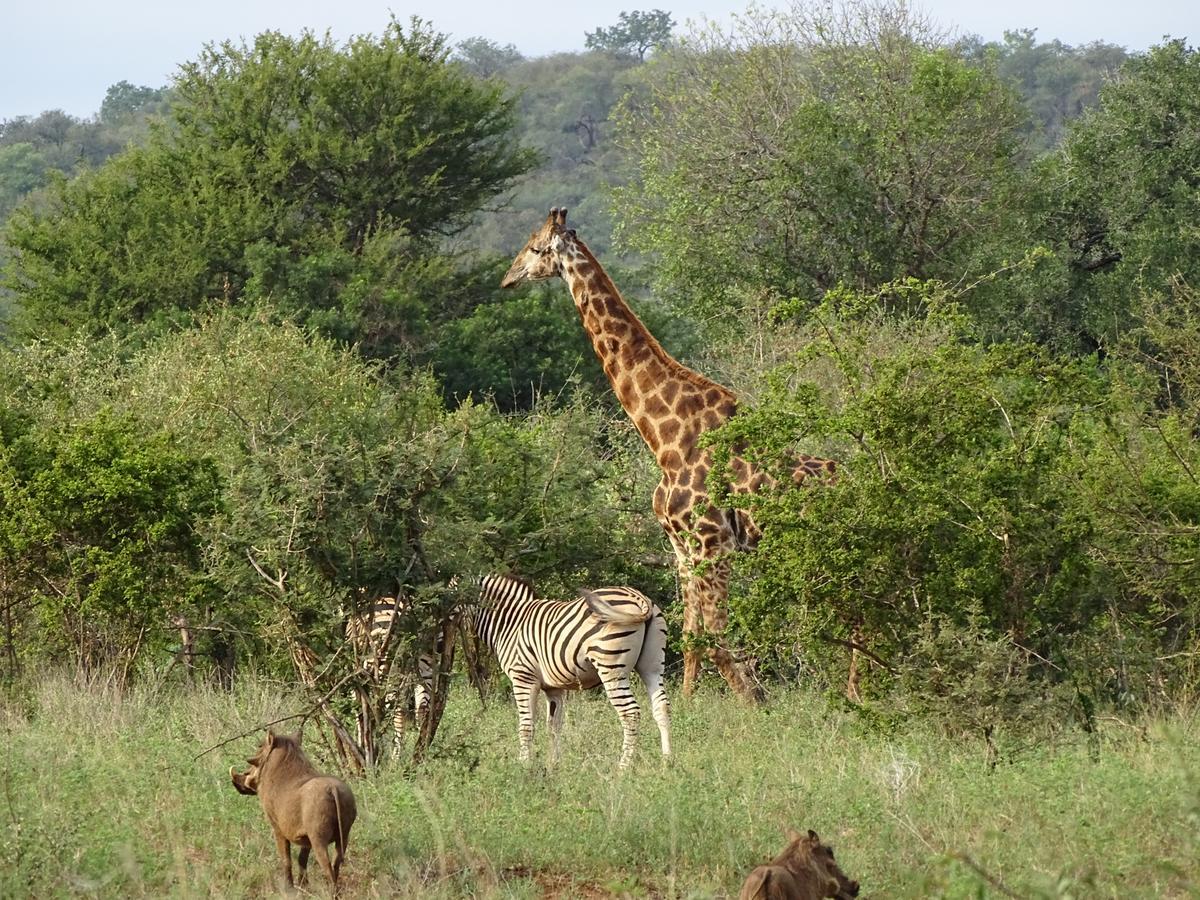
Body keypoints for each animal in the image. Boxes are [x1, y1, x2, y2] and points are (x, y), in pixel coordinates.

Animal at [468, 573, 676, 772]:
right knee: (661, 707)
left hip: (612, 668)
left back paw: (623, 768)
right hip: (653, 665)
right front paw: (553, 765)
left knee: (630, 713)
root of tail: (639, 597)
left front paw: (524, 766)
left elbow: (526, 726)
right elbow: (553, 726)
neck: (510, 622)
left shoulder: (523, 678)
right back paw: (667, 763)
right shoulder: (553, 688)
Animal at [499, 210, 835, 705]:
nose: (507, 278)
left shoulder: (713, 544)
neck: (664, 440)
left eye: (536, 247)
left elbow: (713, 638)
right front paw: (690, 706)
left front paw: (753, 704)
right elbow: (692, 635)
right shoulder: (681, 547)